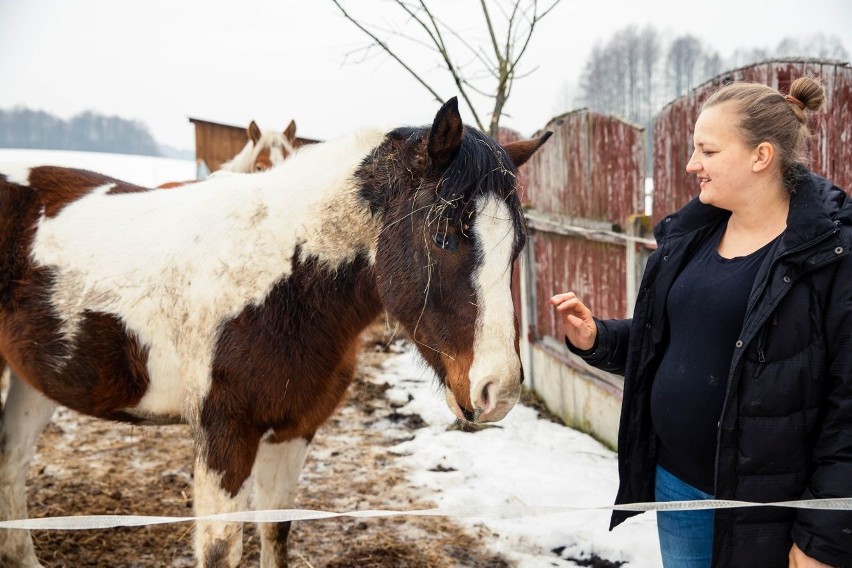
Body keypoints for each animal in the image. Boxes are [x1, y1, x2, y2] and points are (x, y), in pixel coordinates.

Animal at [0, 98, 548, 568]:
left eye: (518, 244)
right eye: (443, 236)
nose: (498, 390)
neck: (284, 279)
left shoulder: (293, 429)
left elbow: (276, 530)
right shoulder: (224, 436)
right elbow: (222, 549)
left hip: (32, 382)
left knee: (13, 461)